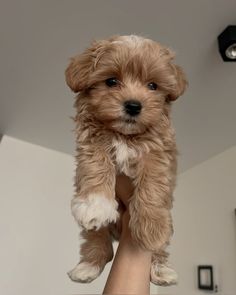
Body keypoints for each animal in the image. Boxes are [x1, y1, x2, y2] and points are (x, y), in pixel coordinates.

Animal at [64, 34, 186, 286]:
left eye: (153, 86)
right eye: (111, 81)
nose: (133, 105)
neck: (125, 136)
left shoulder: (160, 152)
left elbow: (153, 183)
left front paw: (151, 228)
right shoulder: (91, 141)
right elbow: (95, 164)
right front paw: (96, 204)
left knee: (161, 246)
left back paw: (161, 268)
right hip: (98, 233)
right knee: (96, 237)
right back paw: (88, 266)